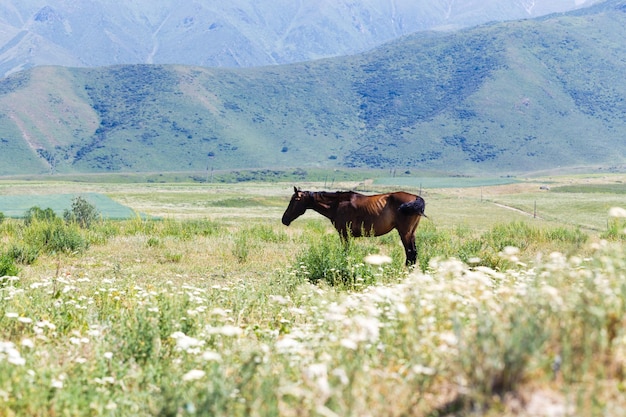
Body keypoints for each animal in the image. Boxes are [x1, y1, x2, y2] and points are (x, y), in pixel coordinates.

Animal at [282, 187, 424, 264]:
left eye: (294, 200)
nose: (284, 219)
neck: (337, 205)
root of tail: (416, 198)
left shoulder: (344, 234)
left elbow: (346, 251)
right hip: (411, 233)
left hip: (405, 233)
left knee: (410, 254)